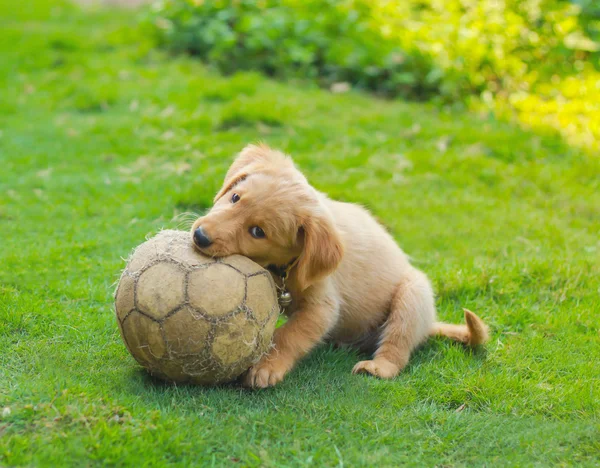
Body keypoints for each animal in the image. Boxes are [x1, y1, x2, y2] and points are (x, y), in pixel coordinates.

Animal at [191, 144, 488, 390]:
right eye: (235, 197)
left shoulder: (323, 308)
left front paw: (266, 365)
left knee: (397, 345)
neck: (283, 268)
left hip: (413, 295)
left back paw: (378, 367)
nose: (200, 236)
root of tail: (429, 326)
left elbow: (289, 335)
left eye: (258, 232)